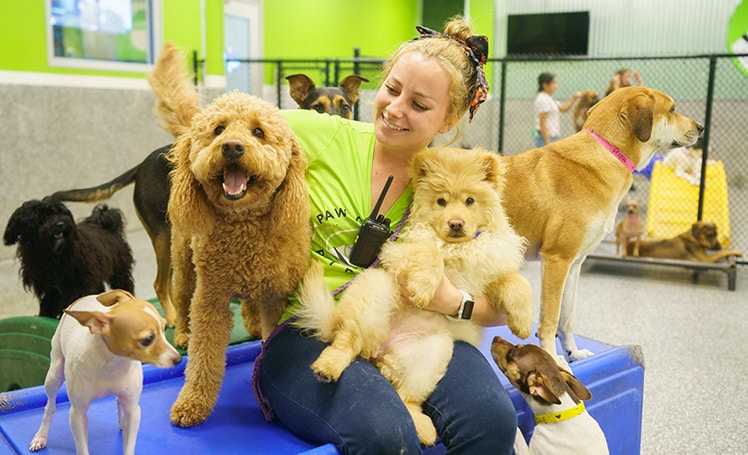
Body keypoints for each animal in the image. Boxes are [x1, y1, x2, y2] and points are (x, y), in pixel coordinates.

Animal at [2, 198, 134, 318]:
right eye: (42, 217)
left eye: (60, 213)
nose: (60, 224)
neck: (51, 255)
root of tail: (102, 222)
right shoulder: (50, 286)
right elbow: (48, 301)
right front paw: (45, 314)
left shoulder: (78, 283)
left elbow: (70, 301)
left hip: (119, 270)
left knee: (124, 284)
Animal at [500, 86, 704, 364]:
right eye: (673, 109)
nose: (701, 127)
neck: (607, 152)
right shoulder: (557, 260)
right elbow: (550, 319)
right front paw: (552, 359)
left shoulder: (573, 264)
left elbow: (567, 318)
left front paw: (573, 353)